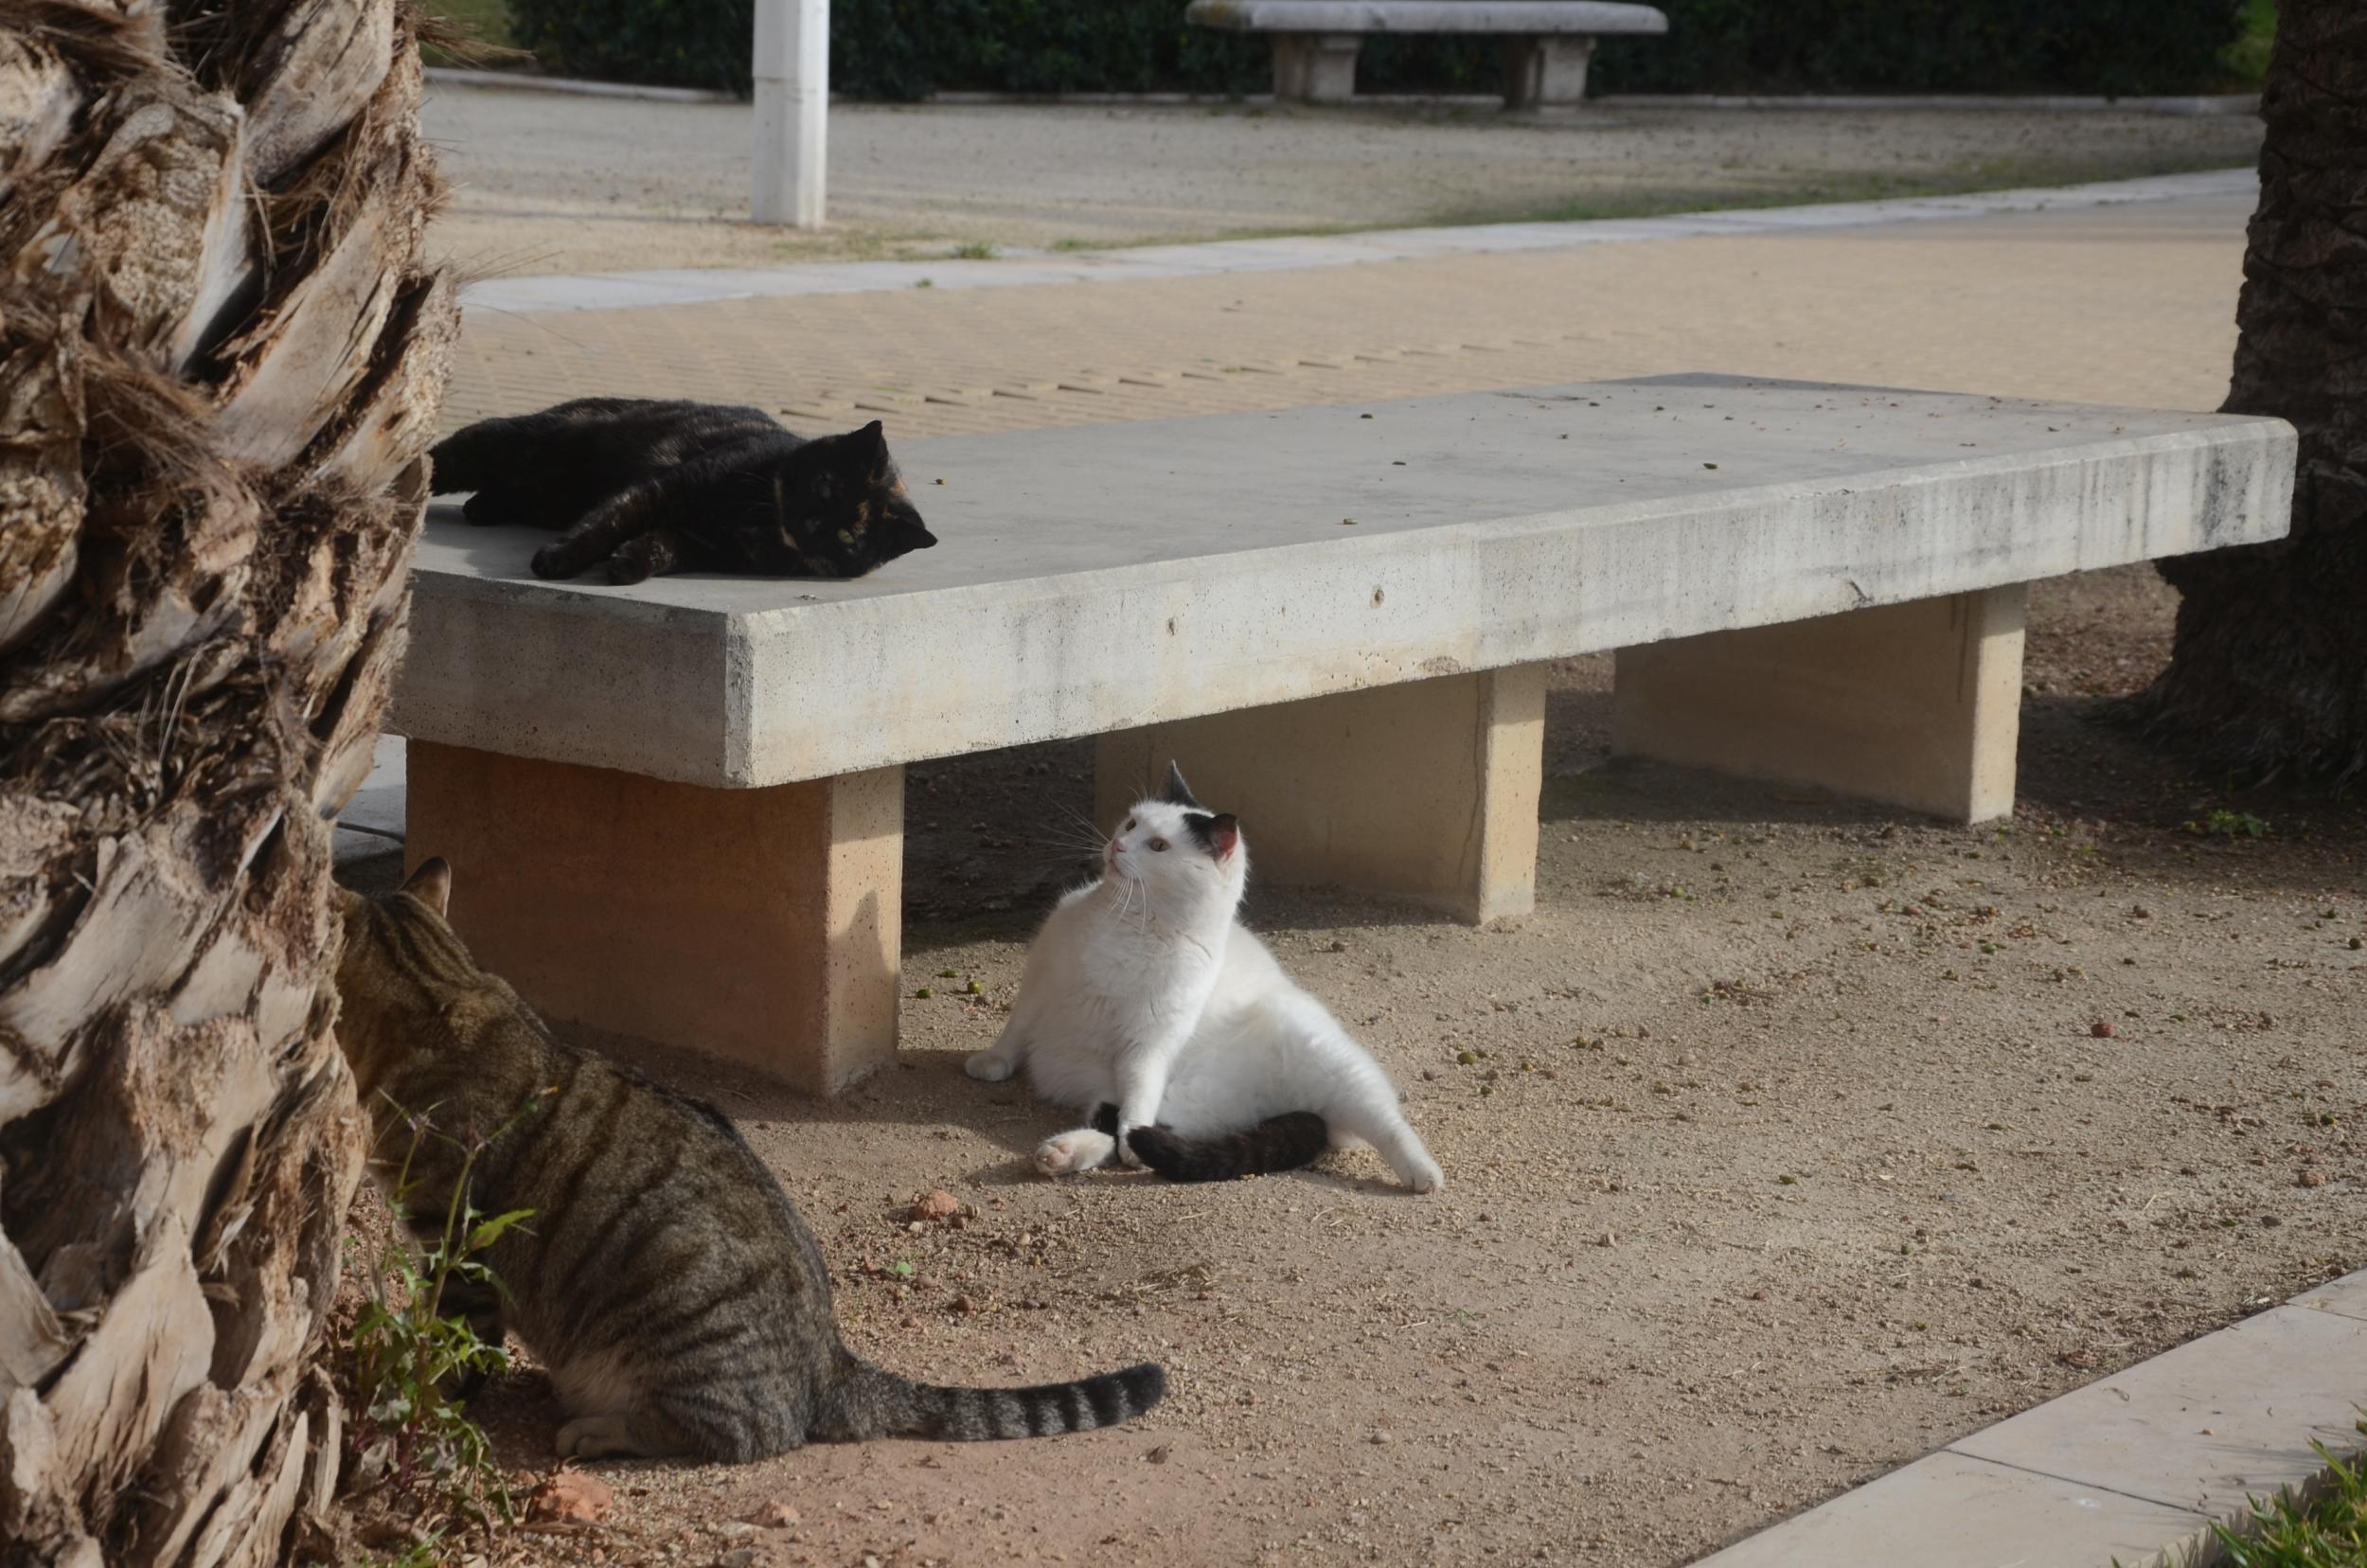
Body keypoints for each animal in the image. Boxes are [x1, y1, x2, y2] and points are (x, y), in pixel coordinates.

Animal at [333, 862, 1165, 1458]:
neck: (435, 992)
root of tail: (830, 1364)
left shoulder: (458, 1247)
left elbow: (453, 1354)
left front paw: (421, 1403)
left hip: (675, 1321)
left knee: (734, 1435)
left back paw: (598, 1429)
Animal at [426, 395, 933, 587]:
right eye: (825, 486)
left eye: (850, 537)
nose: (810, 524)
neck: (760, 520)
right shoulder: (664, 489)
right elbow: (606, 521)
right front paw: (562, 558)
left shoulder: (702, 547)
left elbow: (660, 547)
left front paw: (627, 564)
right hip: (508, 443)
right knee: (437, 459)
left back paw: (481, 507)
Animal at [961, 767, 1439, 1198]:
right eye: (1132, 824)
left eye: (1158, 846)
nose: (1117, 845)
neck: (1135, 924)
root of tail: (1277, 1104)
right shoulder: (1041, 981)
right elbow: (1016, 1029)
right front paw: (993, 1061)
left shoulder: (1153, 1038)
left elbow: (1140, 1088)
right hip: (1166, 1100)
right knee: (1128, 1129)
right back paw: (1064, 1152)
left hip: (1336, 1066)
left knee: (1386, 1123)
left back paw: (1423, 1173)